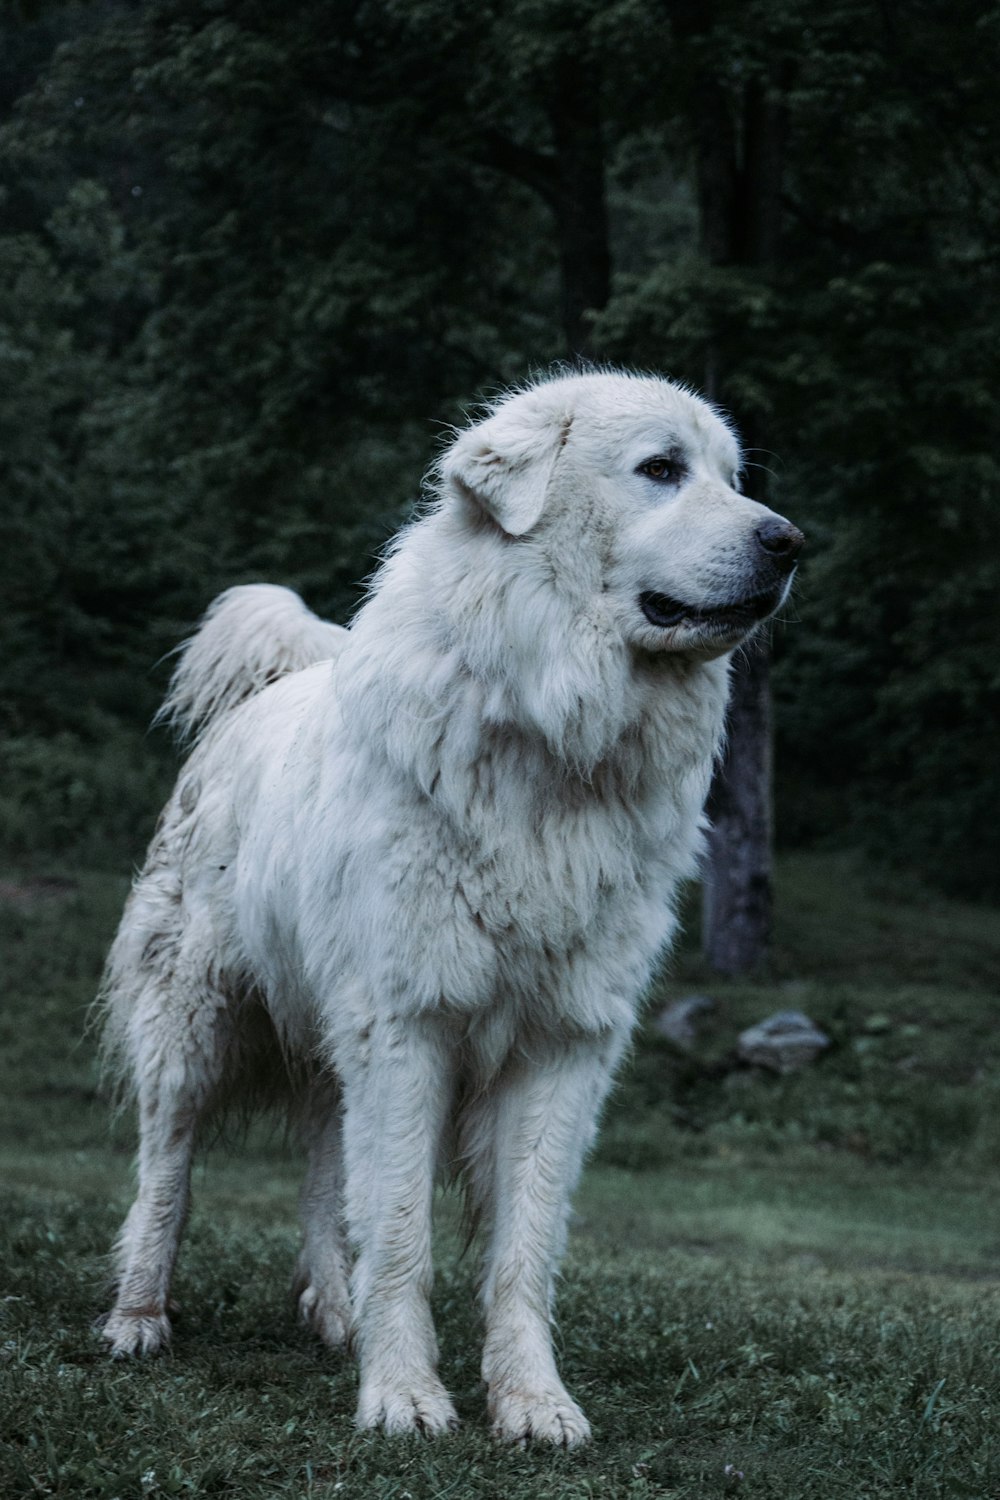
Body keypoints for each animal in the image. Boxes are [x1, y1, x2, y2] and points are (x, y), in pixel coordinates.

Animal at [99, 363, 803, 1440]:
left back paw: (333, 1315)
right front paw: (403, 1397)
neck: (553, 739)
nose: (789, 541)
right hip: (194, 1021)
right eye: (660, 469)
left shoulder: (562, 1044)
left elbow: (522, 1248)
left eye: (733, 477)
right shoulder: (409, 1023)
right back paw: (139, 1317)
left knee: (324, 1166)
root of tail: (268, 694)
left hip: (328, 1034)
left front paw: (531, 1403)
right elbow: (400, 1232)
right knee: (165, 1169)